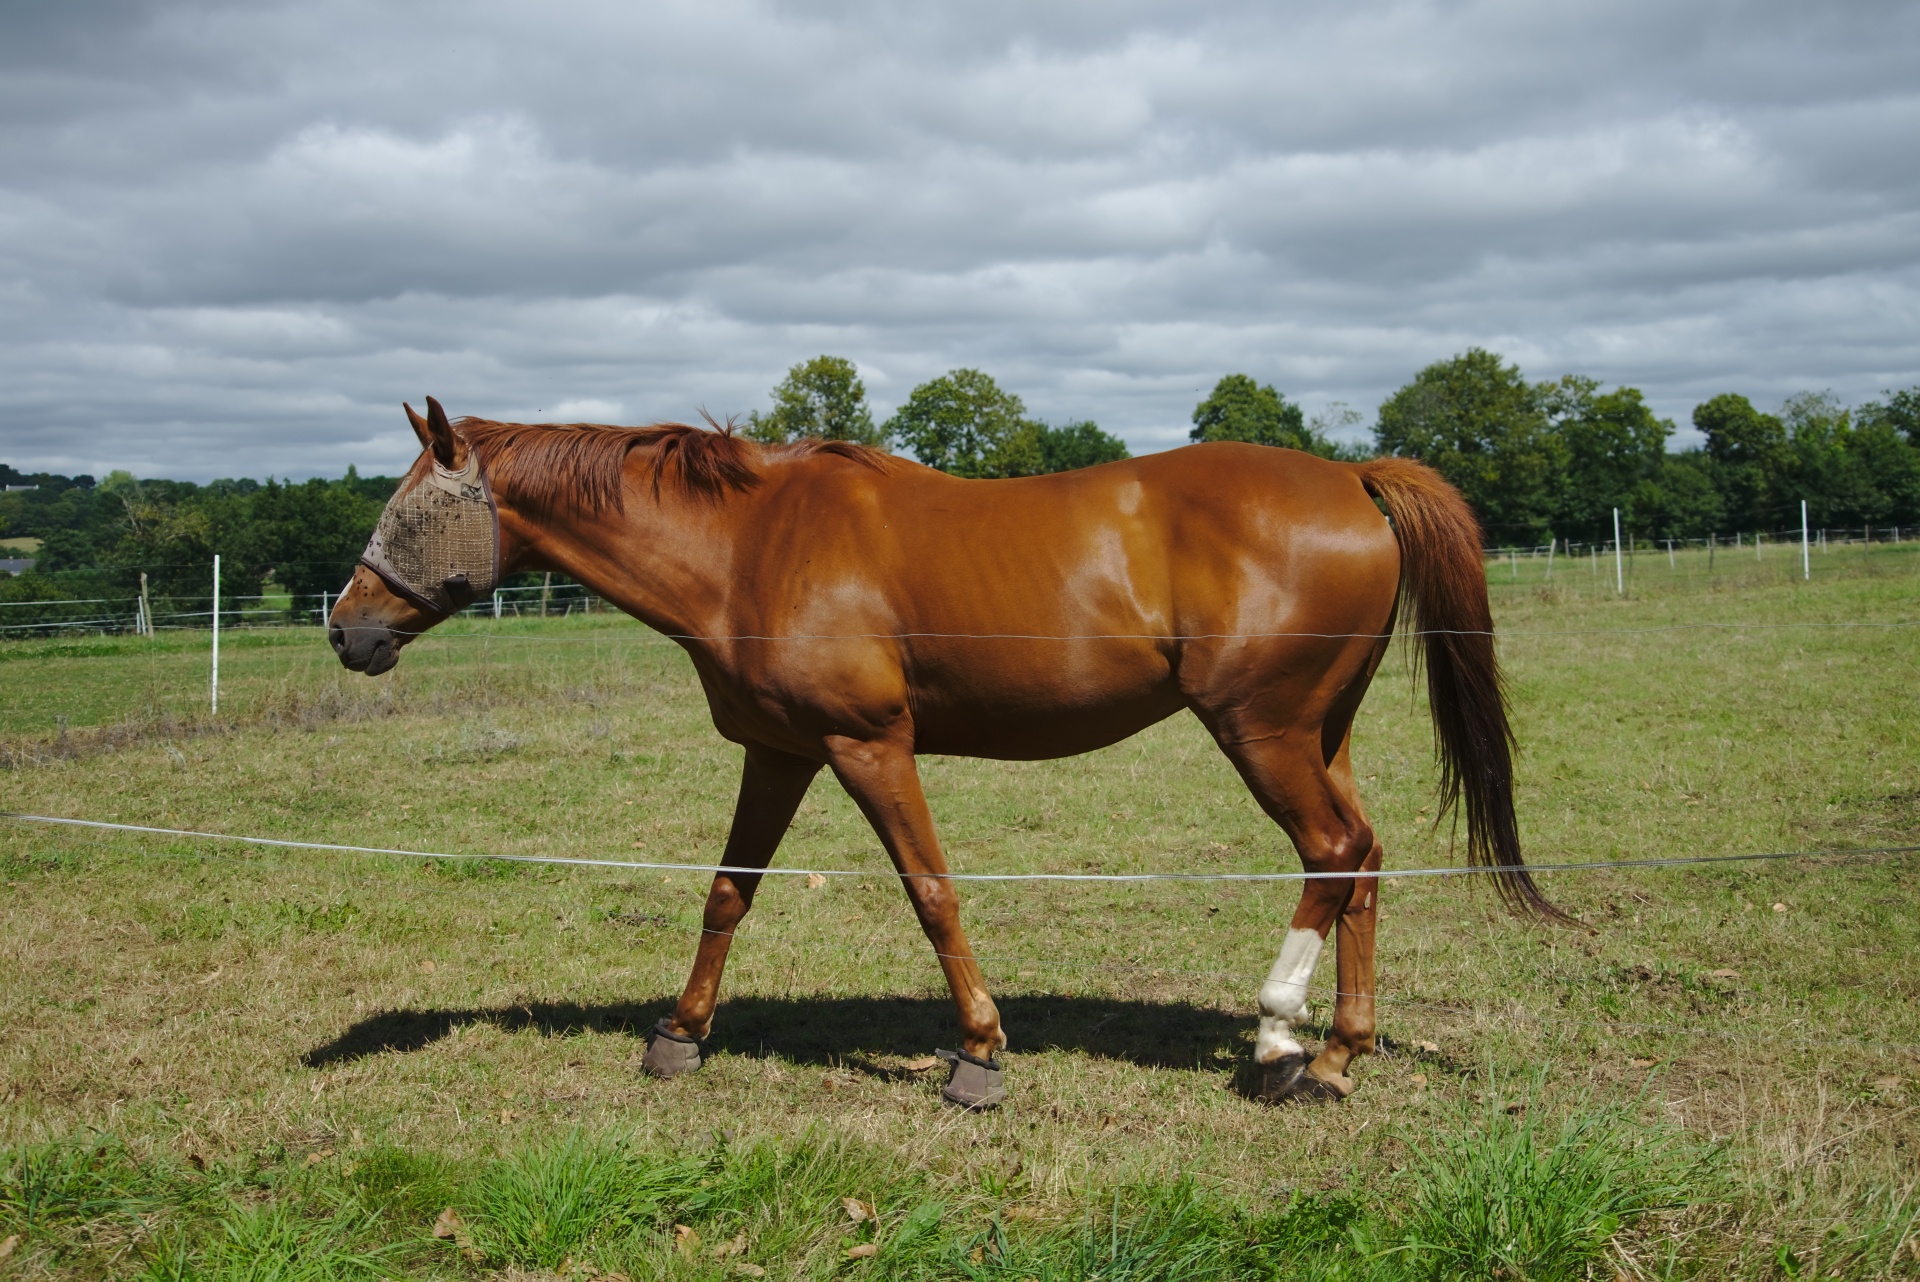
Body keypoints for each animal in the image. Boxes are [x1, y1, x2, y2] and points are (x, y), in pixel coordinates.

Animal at [322, 403, 1536, 1113]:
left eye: (410, 504)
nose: (345, 629)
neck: (749, 545)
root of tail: (1352, 477)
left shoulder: (869, 748)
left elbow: (931, 891)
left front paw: (980, 1054)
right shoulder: (781, 753)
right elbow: (728, 892)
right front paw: (680, 1034)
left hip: (1264, 731)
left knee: (1331, 850)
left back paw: (1283, 1041)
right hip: (1318, 733)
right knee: (1362, 859)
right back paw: (1339, 1052)